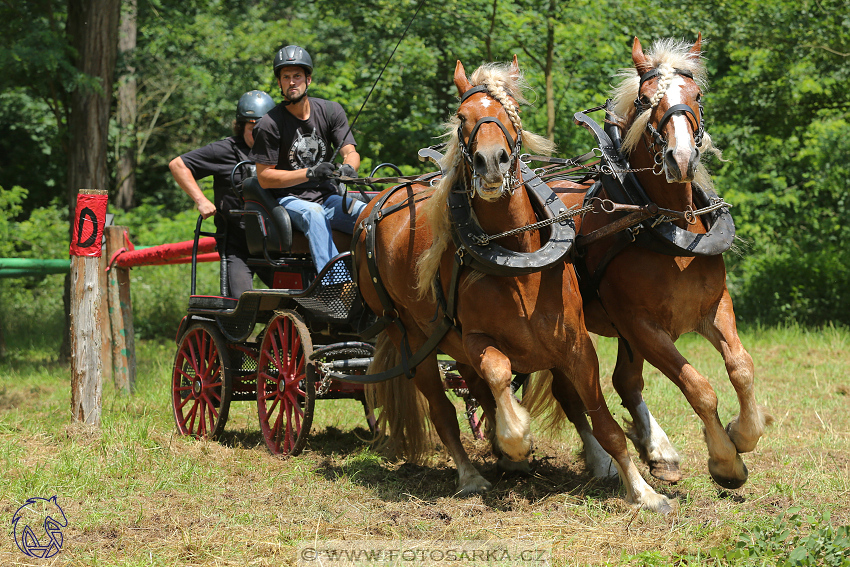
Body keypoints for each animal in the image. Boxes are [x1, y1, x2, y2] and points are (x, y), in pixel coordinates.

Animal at [354, 58, 672, 516]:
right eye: (462, 118)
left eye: (511, 114)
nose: (491, 161)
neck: (516, 256)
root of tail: (376, 204)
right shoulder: (475, 339)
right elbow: (498, 373)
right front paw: (516, 438)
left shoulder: (576, 344)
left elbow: (603, 420)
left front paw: (643, 492)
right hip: (412, 338)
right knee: (443, 409)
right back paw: (472, 475)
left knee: (477, 394)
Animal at [532, 35, 772, 490]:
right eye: (645, 100)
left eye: (696, 96)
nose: (682, 159)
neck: (667, 226)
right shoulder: (643, 327)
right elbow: (698, 387)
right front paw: (725, 461)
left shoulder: (713, 308)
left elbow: (742, 367)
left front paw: (743, 434)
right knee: (572, 392)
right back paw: (600, 461)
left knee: (624, 382)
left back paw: (659, 452)